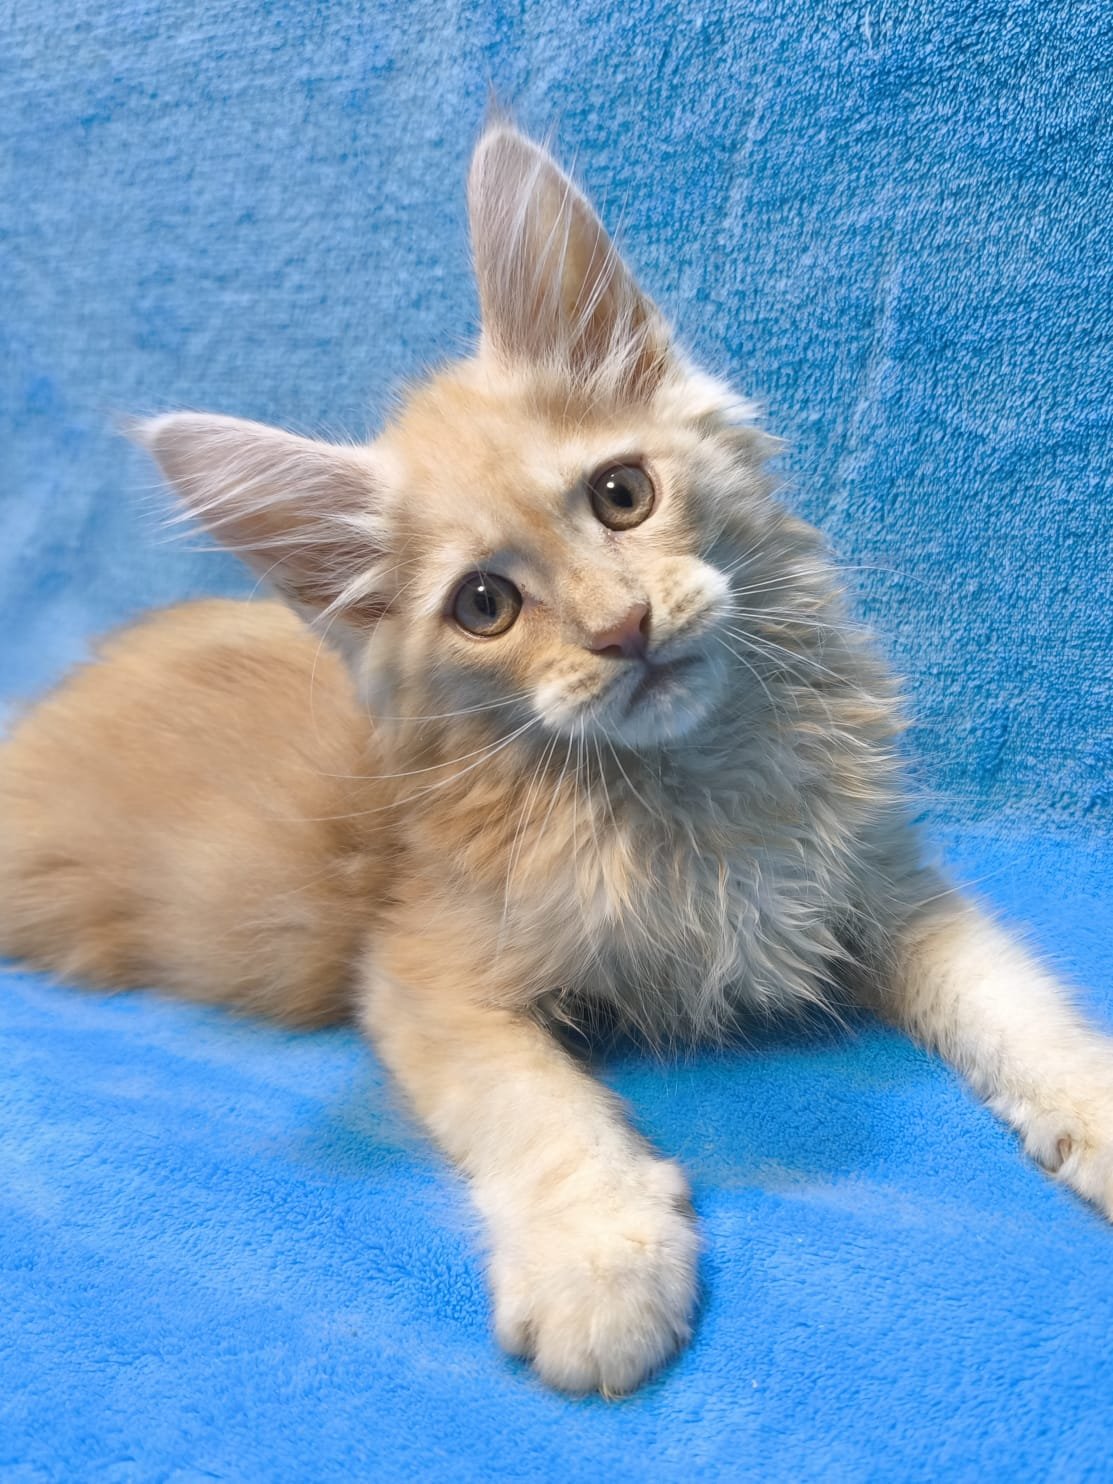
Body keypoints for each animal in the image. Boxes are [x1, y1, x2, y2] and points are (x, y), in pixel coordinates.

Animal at [1, 120, 1111, 1398]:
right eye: (484, 605)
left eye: (623, 494)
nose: (620, 628)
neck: (689, 792)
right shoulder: (421, 971)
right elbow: (537, 1106)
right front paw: (598, 1256)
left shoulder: (885, 881)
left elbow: (1014, 1001)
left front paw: (1095, 1101)